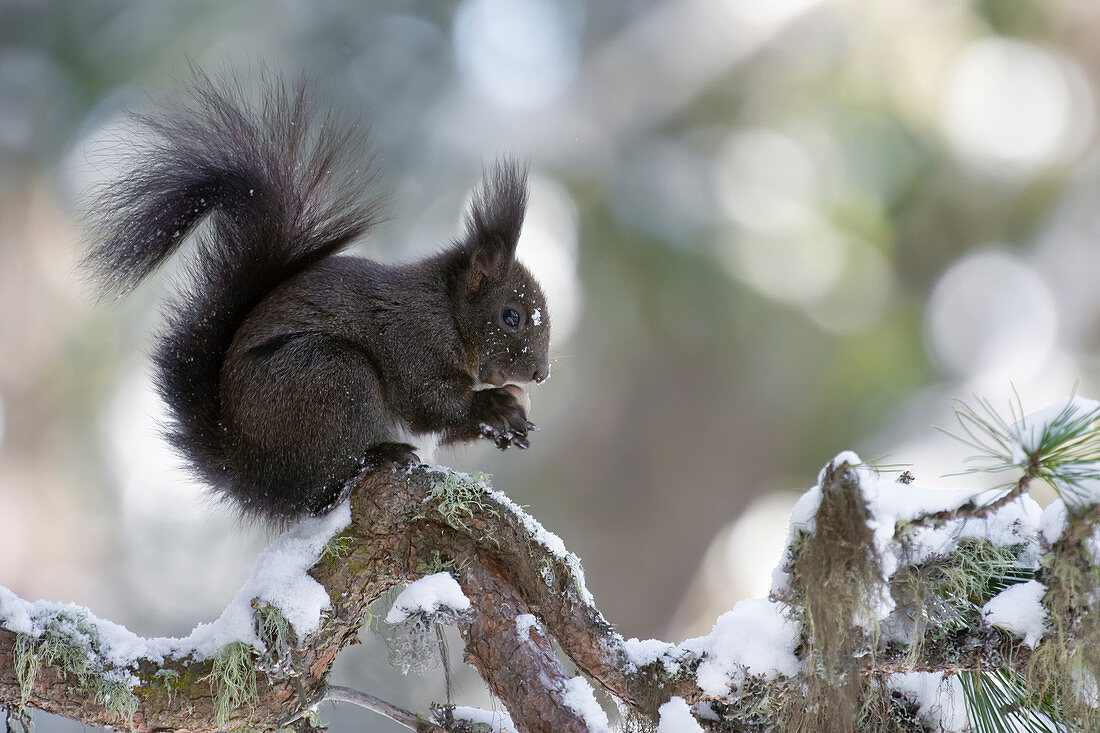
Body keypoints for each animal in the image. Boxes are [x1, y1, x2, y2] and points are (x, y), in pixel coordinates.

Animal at [80, 71, 550, 519]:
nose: (541, 374)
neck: (448, 311)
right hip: (331, 377)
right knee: (325, 485)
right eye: (511, 315)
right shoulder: (413, 338)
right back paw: (380, 454)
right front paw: (495, 407)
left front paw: (506, 426)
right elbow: (428, 401)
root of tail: (255, 475)